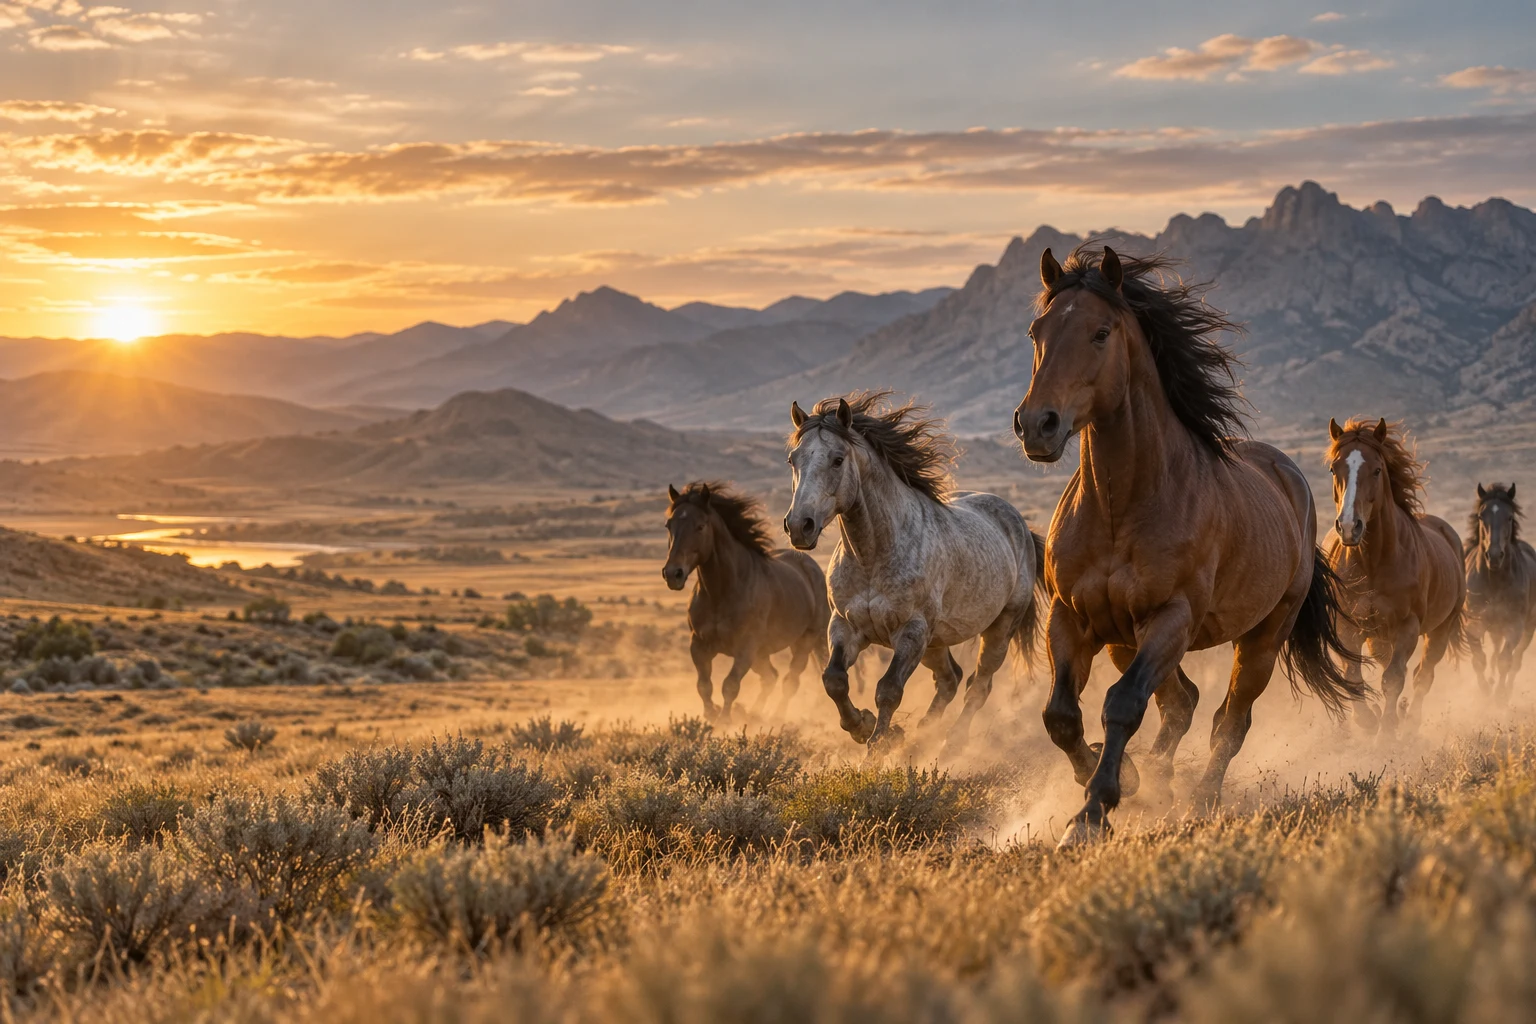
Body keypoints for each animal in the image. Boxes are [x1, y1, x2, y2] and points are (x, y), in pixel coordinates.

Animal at [662, 481, 830, 722]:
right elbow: (704, 686)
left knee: (790, 681)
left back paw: (776, 717)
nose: (673, 574)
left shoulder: (745, 648)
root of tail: (812, 567)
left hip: (804, 642)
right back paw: (755, 714)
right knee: (770, 677)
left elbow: (729, 685)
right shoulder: (699, 646)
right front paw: (711, 715)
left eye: (700, 526)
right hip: (762, 654)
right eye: (669, 525)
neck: (721, 593)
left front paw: (724, 721)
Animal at [783, 391, 1047, 754]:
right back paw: (924, 734)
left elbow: (888, 690)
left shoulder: (911, 632)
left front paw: (877, 748)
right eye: (792, 460)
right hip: (935, 643)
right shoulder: (845, 626)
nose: (799, 526)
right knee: (950, 679)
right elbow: (833, 680)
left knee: (978, 685)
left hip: (998, 629)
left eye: (837, 459)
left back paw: (950, 744)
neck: (872, 557)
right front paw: (863, 727)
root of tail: (1018, 522)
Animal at [1013, 244, 1363, 846]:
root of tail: (1288, 476)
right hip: (1122, 637)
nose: (1037, 425)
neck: (1122, 508)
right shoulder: (1072, 616)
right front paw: (1117, 779)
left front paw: (1093, 811)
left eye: (1100, 333)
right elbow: (1061, 715)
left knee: (1230, 719)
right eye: (1037, 331)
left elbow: (1123, 704)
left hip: (1262, 636)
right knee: (1182, 704)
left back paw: (1200, 798)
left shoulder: (1171, 618)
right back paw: (1156, 779)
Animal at [1325, 417, 1466, 737]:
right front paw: (1368, 720)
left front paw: (1387, 732)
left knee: (1423, 675)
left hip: (1441, 629)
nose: (1349, 527)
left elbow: (1393, 679)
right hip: (1378, 637)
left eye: (1377, 469)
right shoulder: (1349, 628)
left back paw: (1410, 724)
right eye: (1334, 469)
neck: (1372, 563)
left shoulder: (1407, 627)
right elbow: (1353, 675)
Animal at [1463, 482, 1536, 705]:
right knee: (1495, 651)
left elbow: (1506, 660)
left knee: (1516, 659)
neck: (1494, 581)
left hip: (1528, 628)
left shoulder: (1515, 626)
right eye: (1481, 516)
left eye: (1510, 517)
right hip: (1495, 628)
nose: (1494, 556)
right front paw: (1485, 690)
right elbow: (1479, 659)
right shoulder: (1473, 624)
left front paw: (1500, 696)